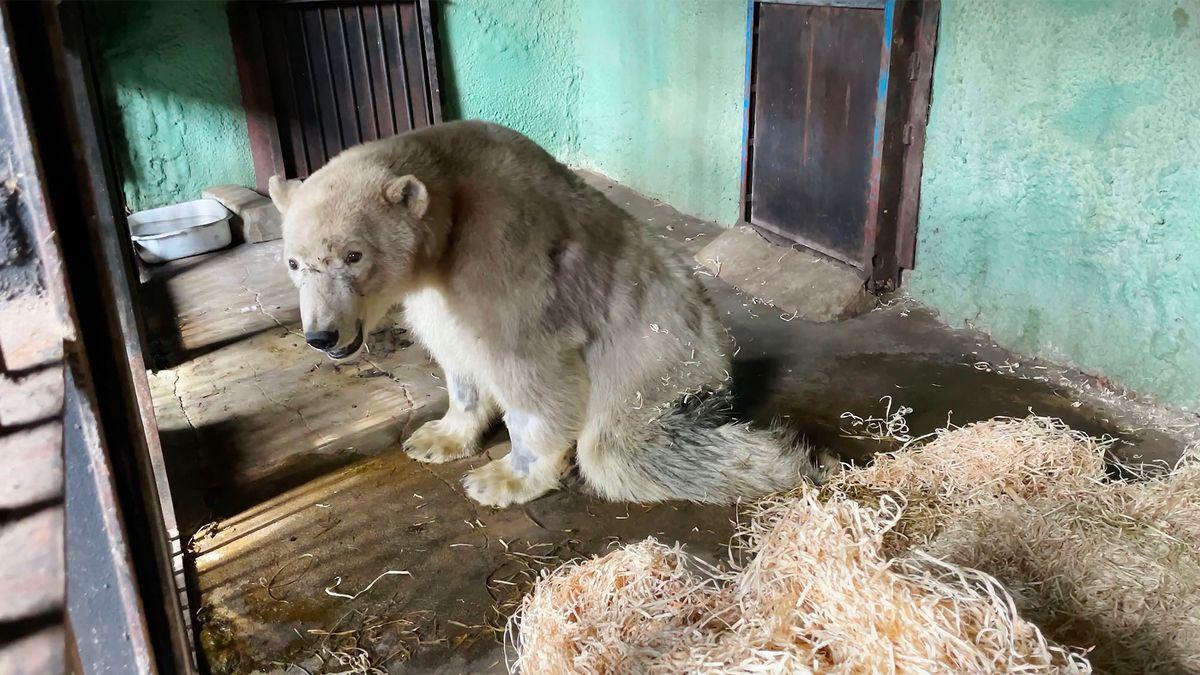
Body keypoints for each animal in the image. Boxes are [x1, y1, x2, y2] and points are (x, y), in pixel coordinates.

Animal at [267, 121, 830, 504]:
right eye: (293, 262)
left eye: (353, 255)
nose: (322, 335)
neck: (449, 192)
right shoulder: (437, 286)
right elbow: (454, 349)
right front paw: (435, 437)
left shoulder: (501, 250)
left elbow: (530, 370)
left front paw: (501, 479)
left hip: (657, 358)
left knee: (620, 448)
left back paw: (785, 461)